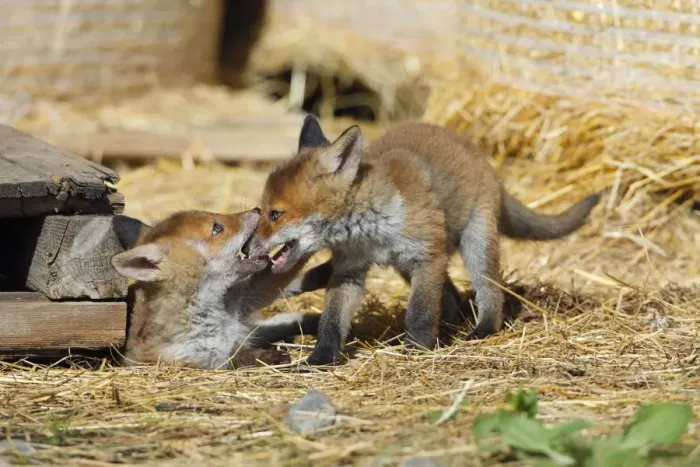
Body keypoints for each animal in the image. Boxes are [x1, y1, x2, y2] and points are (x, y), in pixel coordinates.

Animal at [110, 208, 333, 370]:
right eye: (217, 228)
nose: (258, 209)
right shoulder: (196, 357)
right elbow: (234, 358)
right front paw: (266, 356)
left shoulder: (245, 297)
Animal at [248, 116, 601, 365]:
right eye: (261, 210)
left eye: (275, 214)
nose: (246, 248)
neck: (369, 232)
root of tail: (476, 152)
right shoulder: (350, 269)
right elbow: (331, 322)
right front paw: (321, 358)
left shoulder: (426, 257)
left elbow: (418, 314)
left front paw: (417, 349)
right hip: (411, 265)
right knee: (452, 297)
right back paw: (446, 326)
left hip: (474, 244)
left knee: (490, 291)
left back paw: (482, 328)